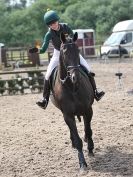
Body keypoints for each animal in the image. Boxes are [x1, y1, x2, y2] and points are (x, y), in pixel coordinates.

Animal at [50, 31, 94, 170]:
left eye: (78, 50)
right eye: (64, 53)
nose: (76, 77)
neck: (72, 87)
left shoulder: (88, 110)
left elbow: (88, 130)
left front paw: (90, 148)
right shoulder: (68, 115)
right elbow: (77, 137)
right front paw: (82, 163)